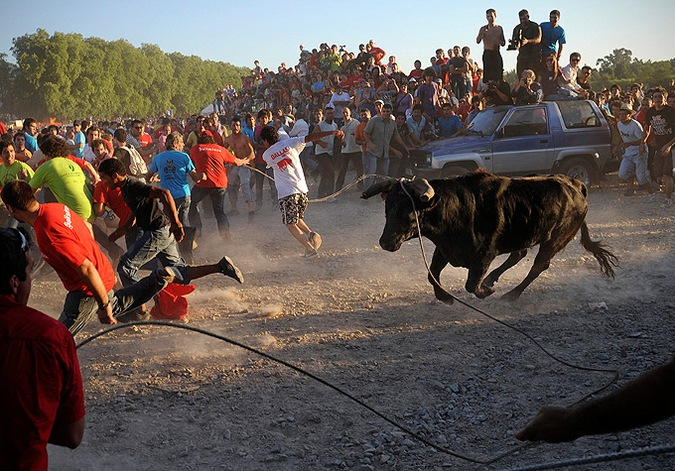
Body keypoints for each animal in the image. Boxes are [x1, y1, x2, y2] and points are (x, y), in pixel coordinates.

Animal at [362, 173, 620, 302]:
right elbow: (431, 275)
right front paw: (445, 297)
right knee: (519, 253)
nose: (385, 242)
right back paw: (492, 280)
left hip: (555, 239)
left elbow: (470, 284)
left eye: (410, 212)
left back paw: (510, 295)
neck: (459, 208)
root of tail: (577, 185)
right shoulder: (445, 250)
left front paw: (484, 292)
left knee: (538, 265)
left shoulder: (484, 255)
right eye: (387, 208)